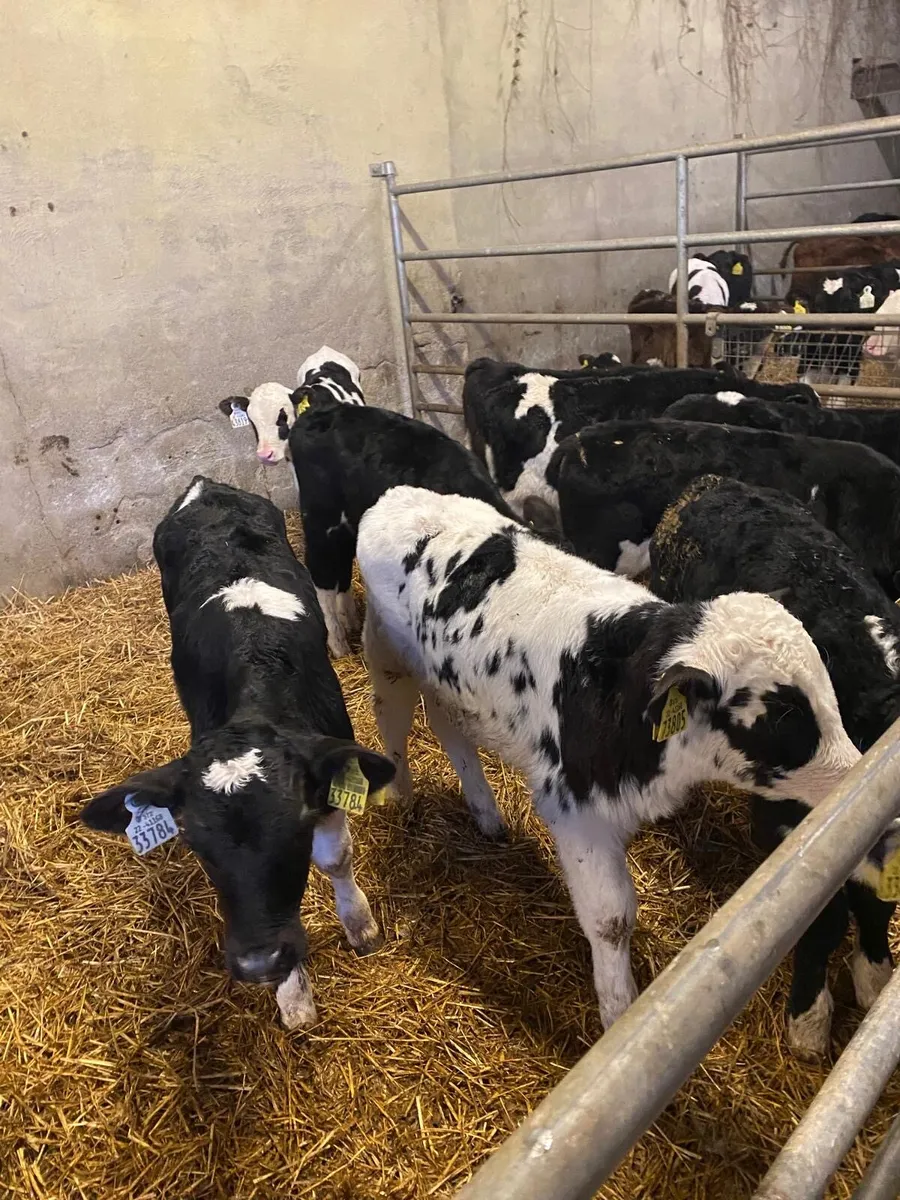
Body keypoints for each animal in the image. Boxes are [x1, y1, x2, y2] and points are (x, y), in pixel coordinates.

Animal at [79, 477, 394, 1029]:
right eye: (194, 841)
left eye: (295, 829)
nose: (258, 963)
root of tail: (206, 485)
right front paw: (293, 994)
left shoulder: (328, 764)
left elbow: (336, 859)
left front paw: (360, 924)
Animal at [287, 403, 520, 658]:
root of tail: (323, 411)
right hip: (321, 522)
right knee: (323, 576)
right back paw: (339, 644)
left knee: (342, 567)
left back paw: (350, 620)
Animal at [356, 485, 871, 1057]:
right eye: (783, 716)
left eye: (827, 688)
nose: (856, 774)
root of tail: (397, 495)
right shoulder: (574, 810)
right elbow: (610, 919)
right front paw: (619, 1016)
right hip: (385, 654)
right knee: (391, 715)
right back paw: (401, 796)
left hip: (447, 684)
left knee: (447, 726)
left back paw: (486, 813)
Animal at [648, 474, 900, 1057]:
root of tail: (712, 481)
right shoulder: (790, 822)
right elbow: (821, 918)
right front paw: (809, 1017)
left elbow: (877, 899)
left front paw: (874, 973)